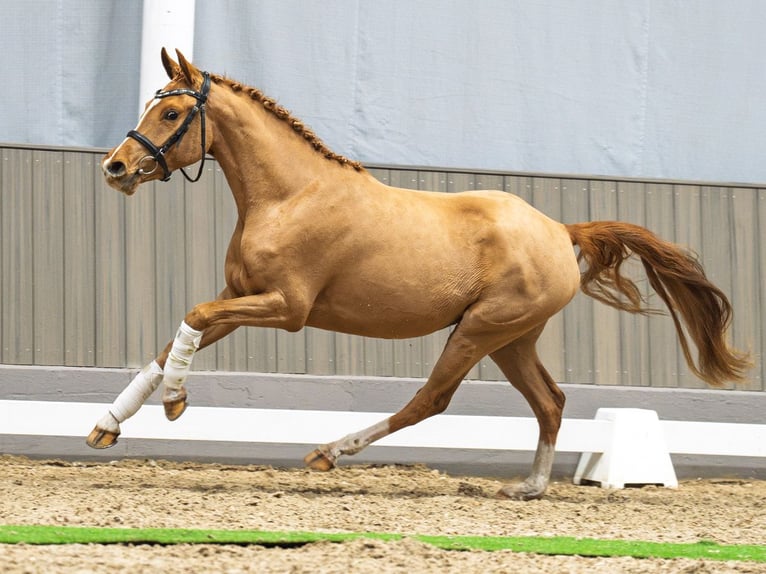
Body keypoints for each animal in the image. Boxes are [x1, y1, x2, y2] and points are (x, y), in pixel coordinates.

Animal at [88, 48, 752, 500]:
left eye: (172, 110)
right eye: (152, 103)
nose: (114, 167)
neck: (289, 195)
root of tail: (560, 231)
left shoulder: (286, 308)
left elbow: (190, 319)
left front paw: (176, 403)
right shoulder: (241, 295)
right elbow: (173, 341)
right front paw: (104, 427)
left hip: (481, 331)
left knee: (431, 400)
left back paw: (328, 453)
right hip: (512, 339)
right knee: (551, 401)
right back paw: (530, 487)